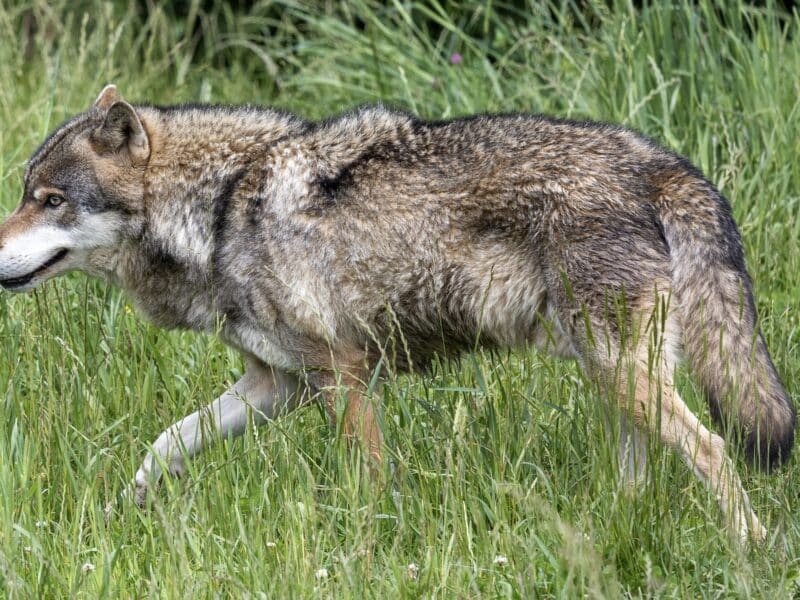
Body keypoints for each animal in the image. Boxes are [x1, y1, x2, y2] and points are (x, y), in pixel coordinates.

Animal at [0, 85, 794, 543]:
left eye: (50, 200)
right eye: (26, 195)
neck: (221, 210)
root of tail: (660, 163)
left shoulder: (341, 373)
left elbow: (367, 480)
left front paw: (374, 544)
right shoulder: (275, 384)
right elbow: (164, 443)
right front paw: (124, 508)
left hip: (625, 375)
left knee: (713, 450)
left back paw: (752, 552)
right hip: (615, 380)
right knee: (643, 473)